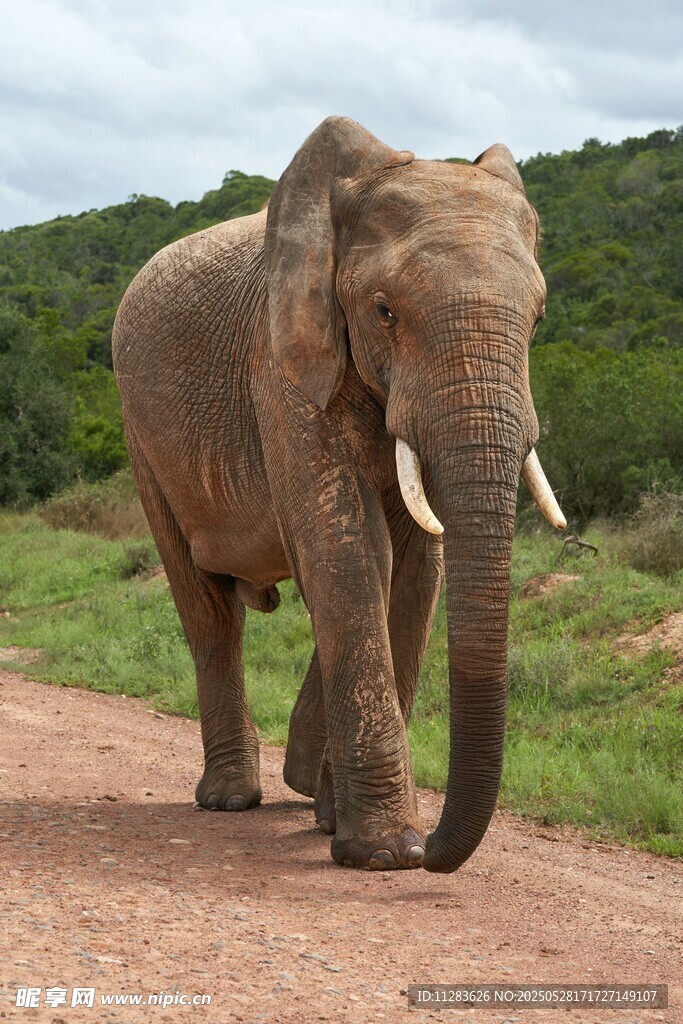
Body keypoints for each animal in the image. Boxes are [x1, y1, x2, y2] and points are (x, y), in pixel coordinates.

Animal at [112, 116, 565, 874]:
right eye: (383, 311)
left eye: (535, 320)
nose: (432, 852)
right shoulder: (281, 364)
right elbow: (346, 550)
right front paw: (383, 853)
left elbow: (411, 569)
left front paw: (350, 830)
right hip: (142, 434)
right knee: (208, 613)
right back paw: (231, 799)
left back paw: (303, 791)